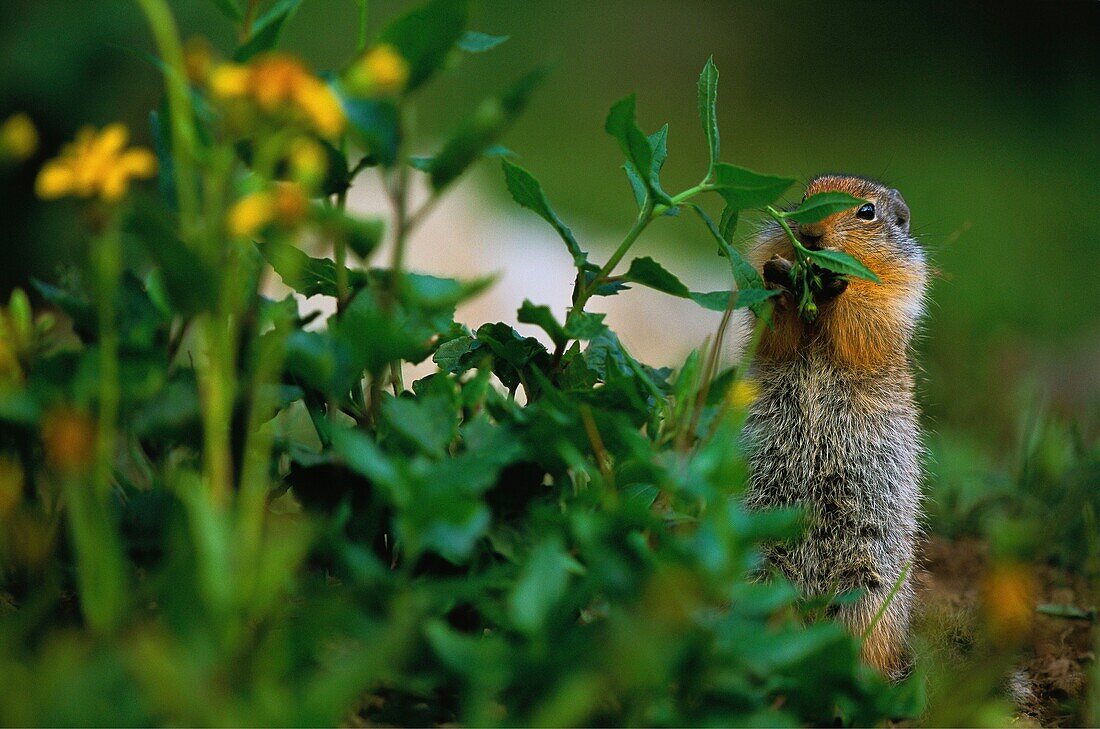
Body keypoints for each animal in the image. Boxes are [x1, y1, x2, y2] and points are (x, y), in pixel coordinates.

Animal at [739, 173, 928, 681]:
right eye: (805, 198)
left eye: (867, 212)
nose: (808, 233)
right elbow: (773, 330)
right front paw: (781, 276)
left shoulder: (899, 291)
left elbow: (867, 318)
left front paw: (833, 283)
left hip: (871, 584)